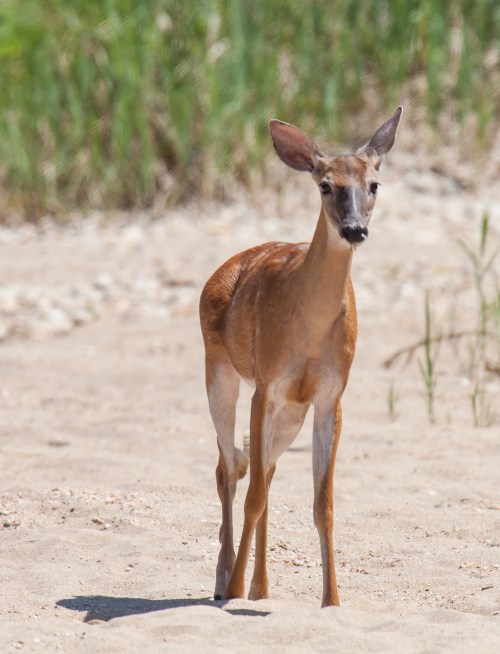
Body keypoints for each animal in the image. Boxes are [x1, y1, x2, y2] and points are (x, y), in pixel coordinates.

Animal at [199, 107, 402, 607]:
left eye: (375, 183)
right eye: (325, 184)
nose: (354, 229)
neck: (308, 331)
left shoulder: (330, 395)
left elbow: (322, 504)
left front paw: (332, 602)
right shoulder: (266, 385)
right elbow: (251, 493)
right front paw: (234, 591)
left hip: (290, 410)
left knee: (264, 470)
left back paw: (261, 589)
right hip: (219, 370)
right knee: (229, 468)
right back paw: (225, 582)